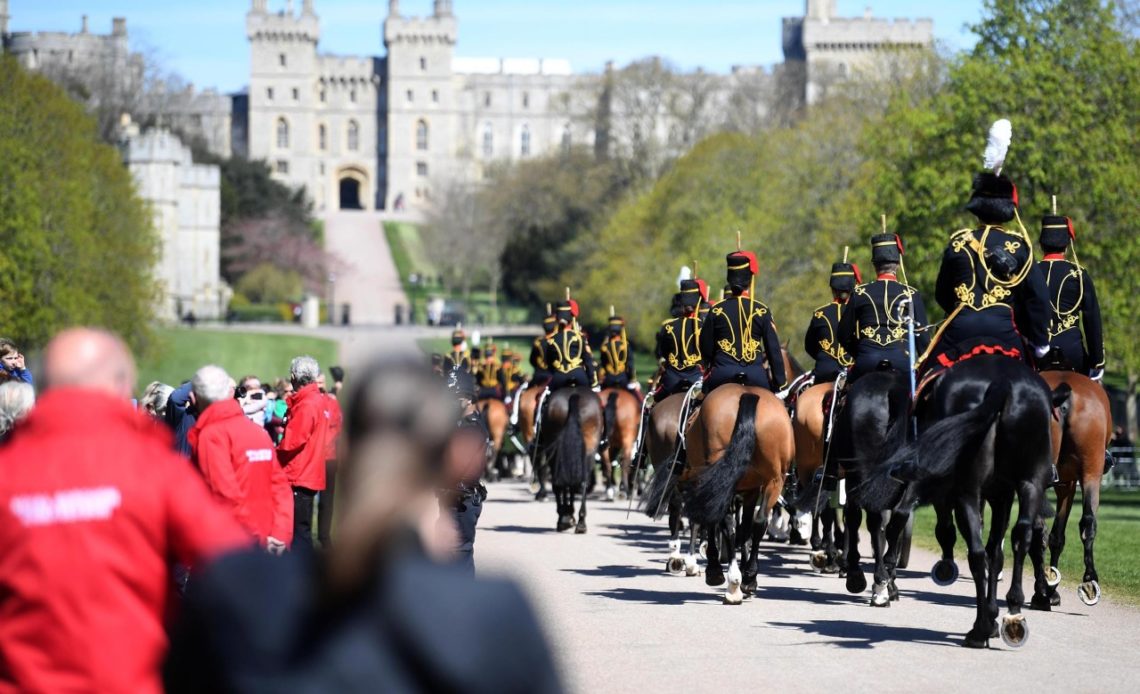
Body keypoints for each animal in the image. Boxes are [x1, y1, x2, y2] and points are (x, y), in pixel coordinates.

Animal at [533, 387, 606, 533]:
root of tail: (574, 395)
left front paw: (566, 515)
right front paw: (569, 514)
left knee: (559, 483)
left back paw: (566, 519)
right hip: (587, 451)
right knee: (582, 482)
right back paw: (581, 522)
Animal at [684, 380, 793, 601]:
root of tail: (747, 394)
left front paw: (715, 570)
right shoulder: (752, 490)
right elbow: (746, 527)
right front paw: (746, 573)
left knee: (726, 521)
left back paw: (732, 579)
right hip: (774, 480)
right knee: (759, 522)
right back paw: (749, 578)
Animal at [857, 355, 1053, 647]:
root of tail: (1002, 381)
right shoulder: (1002, 494)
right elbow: (997, 552)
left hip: (966, 491)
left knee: (975, 551)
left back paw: (980, 628)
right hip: (1029, 483)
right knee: (1020, 538)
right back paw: (1013, 613)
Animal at [1035, 371, 1112, 610]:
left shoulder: (1064, 485)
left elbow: (1055, 537)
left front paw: (1050, 588)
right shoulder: (1068, 485)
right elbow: (1058, 536)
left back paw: (1043, 590)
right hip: (1091, 473)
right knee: (1088, 523)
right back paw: (1089, 581)